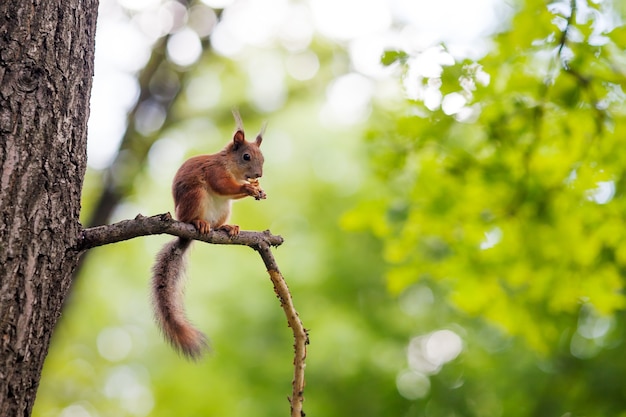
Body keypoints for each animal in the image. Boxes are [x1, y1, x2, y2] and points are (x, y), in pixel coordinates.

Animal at [154, 109, 268, 358]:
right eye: (246, 156)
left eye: (263, 158)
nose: (258, 175)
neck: (230, 165)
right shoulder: (215, 171)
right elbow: (222, 185)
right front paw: (248, 187)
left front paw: (257, 189)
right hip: (195, 196)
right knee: (192, 217)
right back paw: (199, 223)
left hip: (224, 209)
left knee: (218, 223)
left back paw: (226, 228)